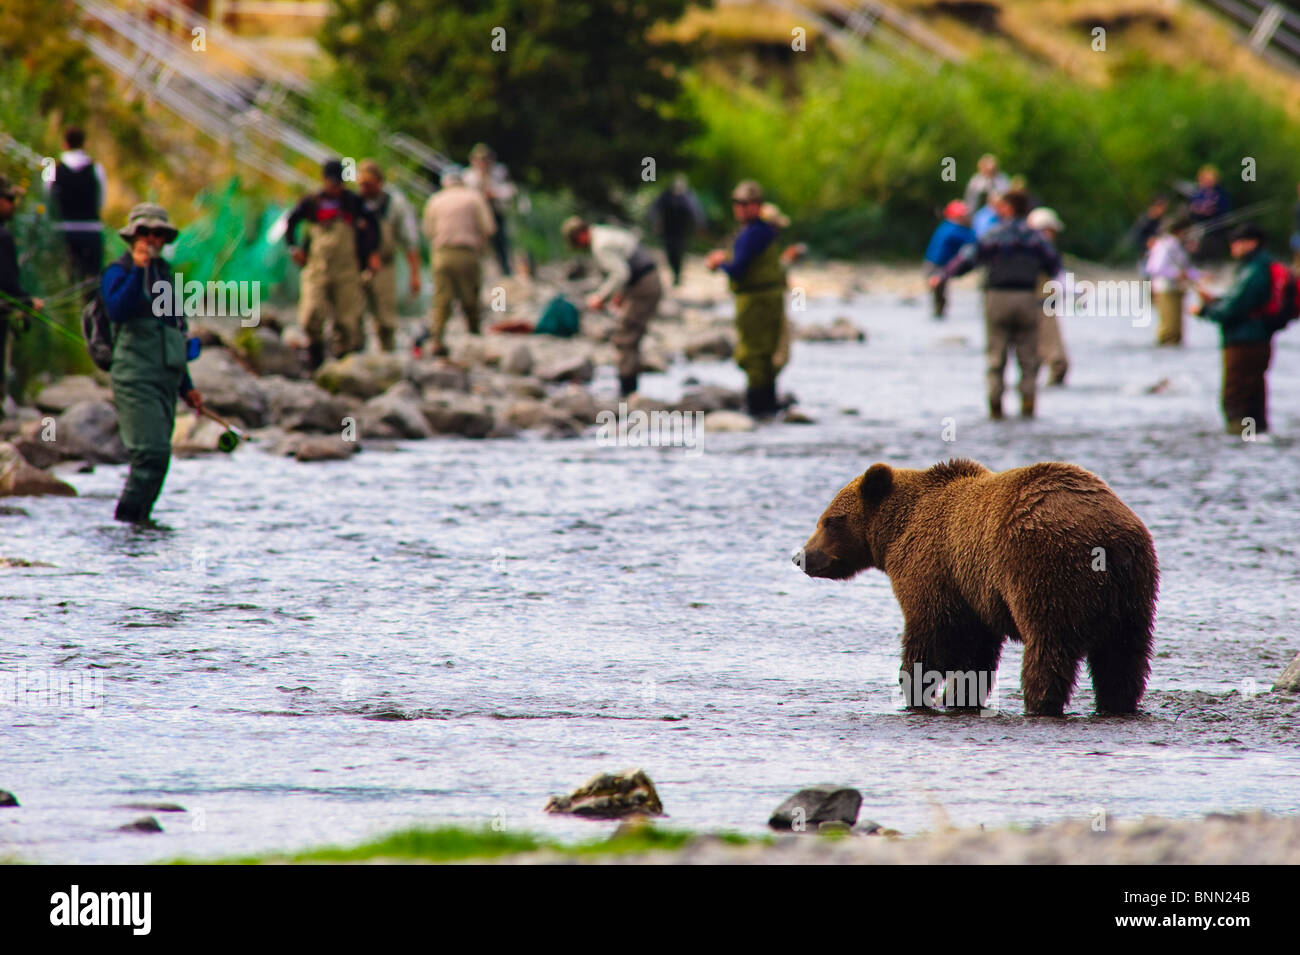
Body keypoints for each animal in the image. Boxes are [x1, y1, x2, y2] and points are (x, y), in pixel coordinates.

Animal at [790, 457, 1159, 717]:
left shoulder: (933, 571)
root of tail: (1107, 540)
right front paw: (961, 696)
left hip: (1045, 571)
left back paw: (1039, 703)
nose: (800, 556)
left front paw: (915, 691)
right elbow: (976, 653)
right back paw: (1117, 703)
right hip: (1134, 591)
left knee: (1049, 649)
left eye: (830, 520)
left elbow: (929, 637)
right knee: (1124, 657)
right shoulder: (973, 592)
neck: (895, 531)